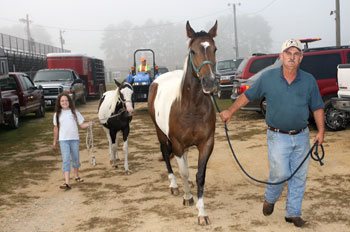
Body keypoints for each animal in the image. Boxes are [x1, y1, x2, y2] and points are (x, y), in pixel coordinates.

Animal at [147, 21, 216, 225]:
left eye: (215, 49)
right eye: (192, 51)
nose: (210, 82)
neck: (191, 107)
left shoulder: (206, 143)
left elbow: (200, 175)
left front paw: (202, 212)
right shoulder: (176, 143)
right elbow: (183, 172)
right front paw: (187, 197)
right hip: (161, 133)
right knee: (167, 156)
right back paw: (175, 185)